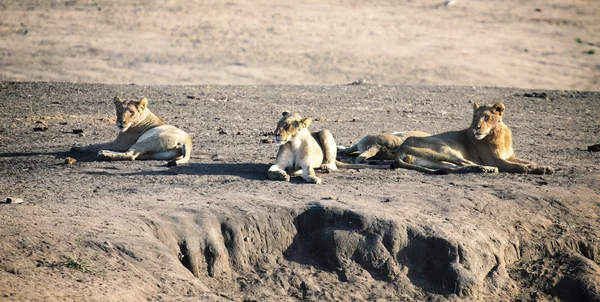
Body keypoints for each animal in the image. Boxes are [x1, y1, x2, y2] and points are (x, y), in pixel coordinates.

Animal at [392, 102, 556, 175]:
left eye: (486, 116)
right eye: (475, 117)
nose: (476, 127)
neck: (498, 134)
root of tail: (400, 148)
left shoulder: (508, 156)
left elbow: (526, 161)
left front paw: (544, 167)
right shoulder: (496, 160)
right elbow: (517, 166)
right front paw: (532, 169)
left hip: (437, 160)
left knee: (455, 167)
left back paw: (479, 169)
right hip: (444, 149)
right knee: (465, 162)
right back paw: (487, 169)